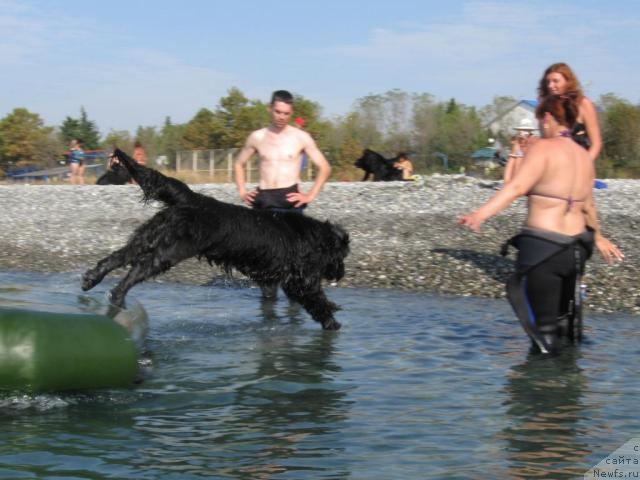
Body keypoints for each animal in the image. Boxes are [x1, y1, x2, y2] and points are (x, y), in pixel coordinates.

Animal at [83, 150, 352, 330]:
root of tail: (192, 199)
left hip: (151, 235)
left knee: (119, 256)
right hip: (170, 250)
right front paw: (332, 320)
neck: (311, 237)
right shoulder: (301, 280)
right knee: (136, 270)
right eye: (341, 257)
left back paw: (92, 279)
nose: (341, 274)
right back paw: (117, 296)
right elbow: (317, 300)